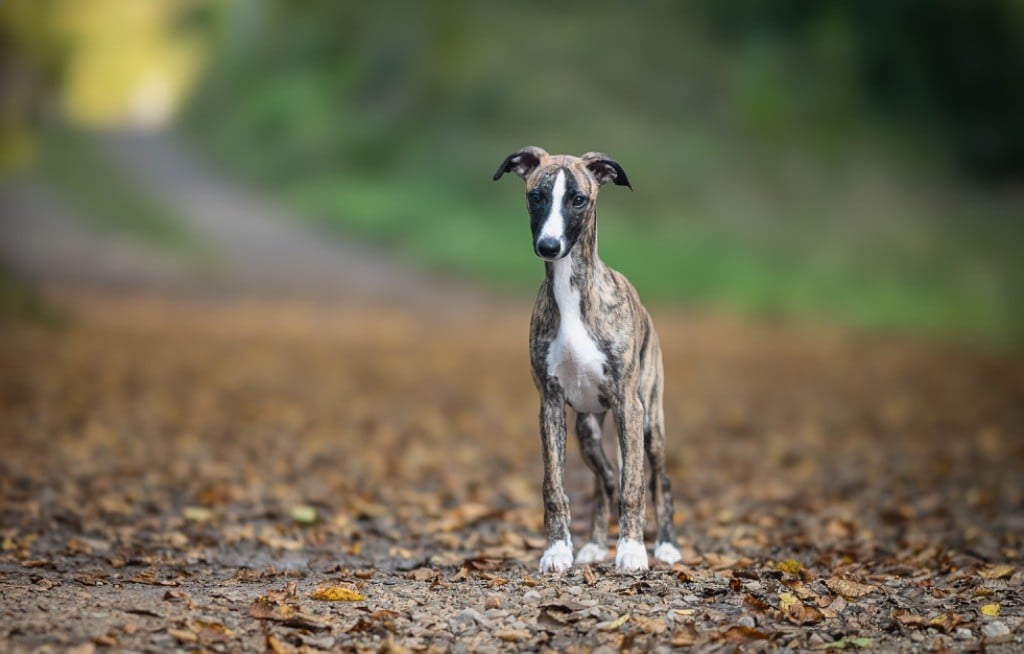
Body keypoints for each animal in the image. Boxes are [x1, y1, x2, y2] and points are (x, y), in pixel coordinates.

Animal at [493, 147, 679, 573]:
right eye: (536, 197)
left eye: (578, 199)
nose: (549, 245)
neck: (571, 292)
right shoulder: (550, 405)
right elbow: (554, 487)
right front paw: (557, 551)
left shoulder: (629, 405)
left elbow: (634, 486)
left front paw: (632, 551)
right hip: (587, 430)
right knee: (605, 480)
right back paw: (594, 544)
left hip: (650, 422)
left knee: (658, 480)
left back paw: (665, 544)